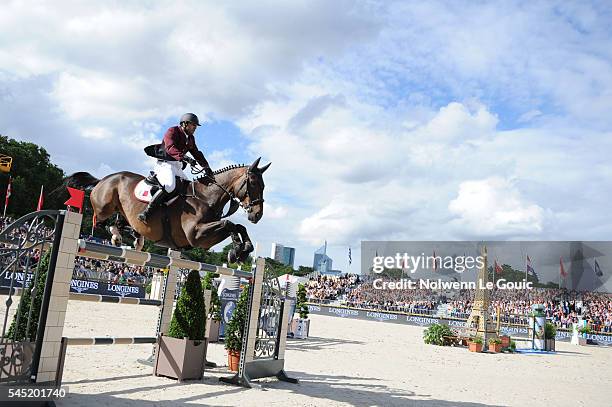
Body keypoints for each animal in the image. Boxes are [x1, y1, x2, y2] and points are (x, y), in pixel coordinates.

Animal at [64, 158, 270, 262]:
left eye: (264, 186)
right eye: (253, 183)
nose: (257, 215)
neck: (206, 197)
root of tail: (104, 179)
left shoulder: (202, 239)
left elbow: (239, 226)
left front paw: (244, 250)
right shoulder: (196, 236)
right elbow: (229, 223)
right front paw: (237, 251)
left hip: (124, 211)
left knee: (122, 222)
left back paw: (135, 238)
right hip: (105, 205)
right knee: (100, 221)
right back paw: (117, 236)